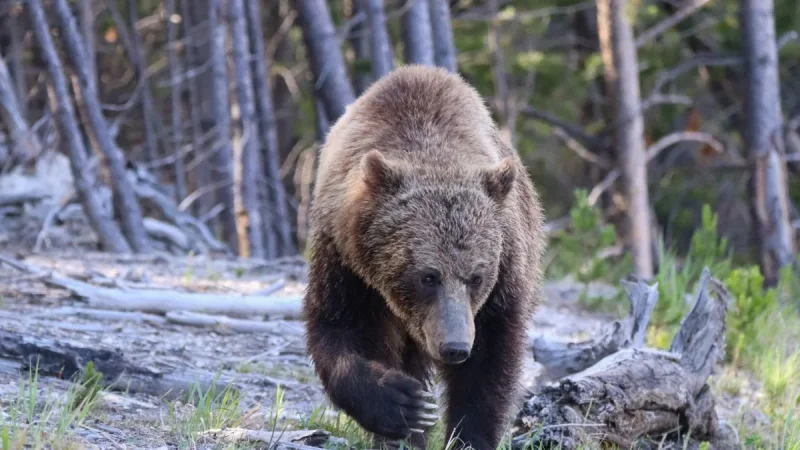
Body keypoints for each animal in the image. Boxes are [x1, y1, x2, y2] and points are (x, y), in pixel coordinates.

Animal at [301, 65, 546, 450]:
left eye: (477, 277)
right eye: (427, 276)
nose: (455, 347)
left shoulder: (505, 271)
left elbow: (490, 363)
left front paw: (467, 436)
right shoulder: (345, 261)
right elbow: (339, 329)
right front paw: (405, 405)